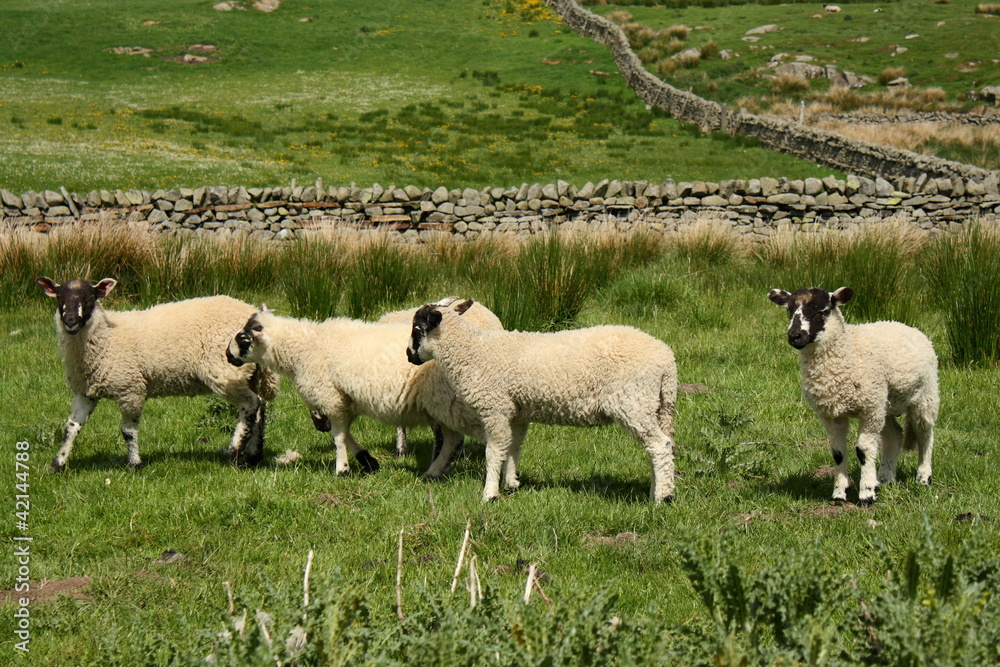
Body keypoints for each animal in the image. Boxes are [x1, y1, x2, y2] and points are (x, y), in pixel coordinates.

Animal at [36, 277, 279, 472]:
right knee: (259, 408)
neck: (106, 338)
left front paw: (134, 464)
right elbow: (71, 428)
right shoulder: (86, 391)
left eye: (90, 298)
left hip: (226, 371)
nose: (70, 322)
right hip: (248, 374)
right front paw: (58, 464)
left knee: (250, 404)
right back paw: (253, 455)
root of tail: (253, 315)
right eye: (59, 297)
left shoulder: (130, 389)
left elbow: (128, 431)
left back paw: (235, 454)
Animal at [226, 309, 490, 479]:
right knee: (454, 440)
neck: (303, 348)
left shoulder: (330, 397)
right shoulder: (344, 400)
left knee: (465, 437)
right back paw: (434, 472)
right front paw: (367, 461)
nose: (227, 355)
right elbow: (343, 433)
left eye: (243, 338)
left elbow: (338, 437)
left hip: (449, 404)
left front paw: (342, 469)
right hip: (444, 406)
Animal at [407, 299, 678, 504]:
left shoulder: (495, 408)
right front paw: (512, 483)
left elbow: (494, 452)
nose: (409, 356)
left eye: (417, 329)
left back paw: (661, 498)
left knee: (659, 446)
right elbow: (513, 447)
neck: (472, 352)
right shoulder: (517, 412)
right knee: (661, 447)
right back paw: (659, 490)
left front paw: (490, 494)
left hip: (633, 401)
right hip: (655, 406)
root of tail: (667, 362)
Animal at [768, 286, 939, 505]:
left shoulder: (869, 409)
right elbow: (838, 452)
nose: (795, 336)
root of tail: (903, 325)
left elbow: (863, 450)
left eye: (822, 311)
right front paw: (840, 493)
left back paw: (923, 477)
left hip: (925, 394)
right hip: (884, 404)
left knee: (925, 433)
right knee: (894, 435)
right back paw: (885, 478)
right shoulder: (832, 414)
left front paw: (866, 494)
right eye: (789, 310)